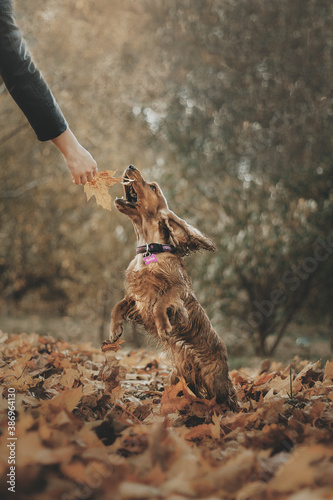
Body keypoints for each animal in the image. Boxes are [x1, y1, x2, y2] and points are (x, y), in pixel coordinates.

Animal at [111, 166, 236, 408]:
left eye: (152, 187)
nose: (130, 166)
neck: (150, 251)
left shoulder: (178, 291)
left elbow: (162, 302)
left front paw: (164, 326)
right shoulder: (136, 297)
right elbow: (118, 305)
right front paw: (114, 329)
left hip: (215, 380)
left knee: (228, 397)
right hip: (178, 377)